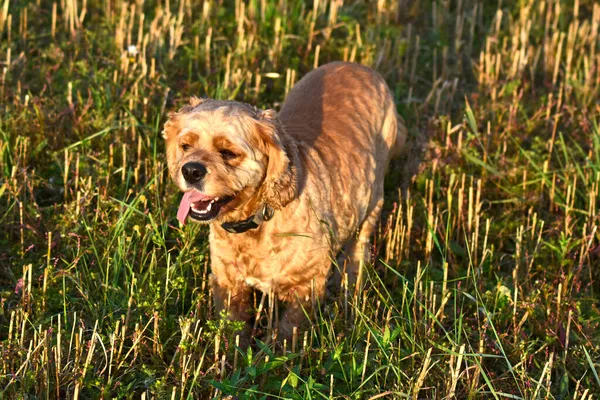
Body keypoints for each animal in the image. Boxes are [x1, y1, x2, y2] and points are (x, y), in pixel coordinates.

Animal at [163, 61, 408, 342]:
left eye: (229, 153)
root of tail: (360, 67)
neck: (258, 220)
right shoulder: (228, 282)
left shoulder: (305, 285)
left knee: (359, 248)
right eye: (185, 145)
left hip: (374, 197)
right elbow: (234, 329)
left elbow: (287, 332)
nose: (191, 170)